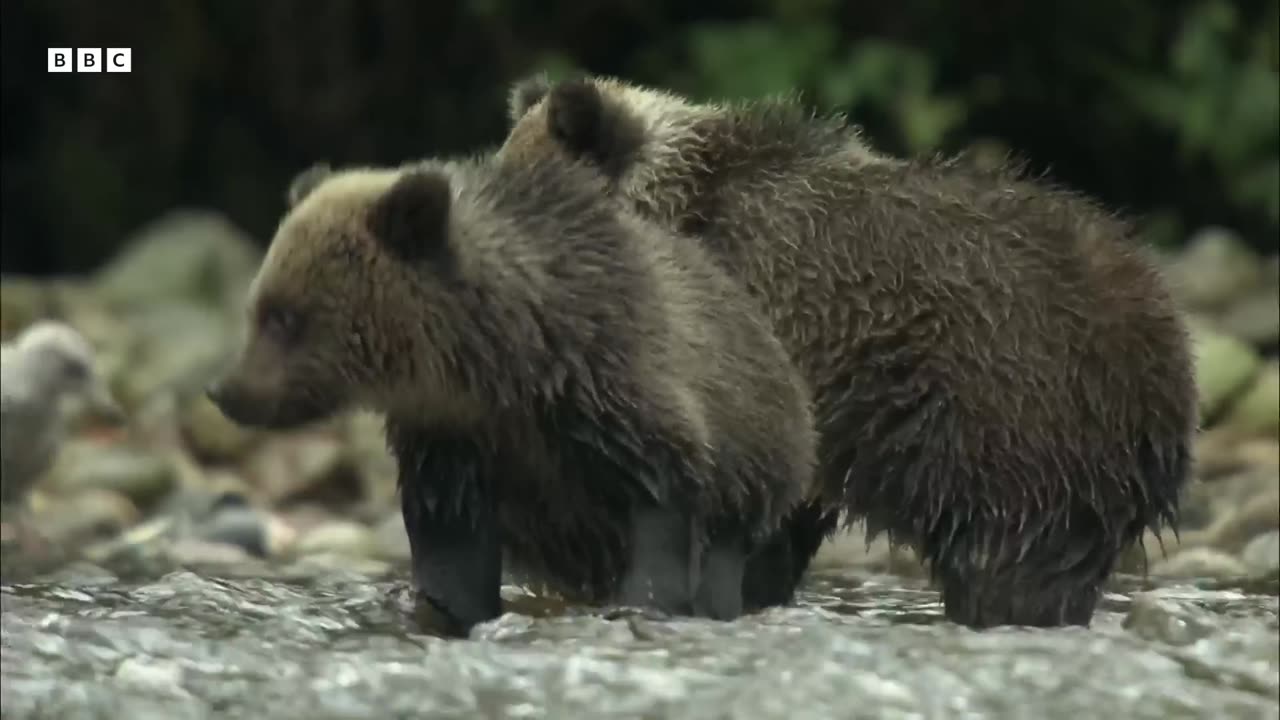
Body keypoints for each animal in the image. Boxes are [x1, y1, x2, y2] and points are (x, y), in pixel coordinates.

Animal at [204, 151, 814, 632]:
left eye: (285, 316)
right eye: (257, 308)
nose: (223, 390)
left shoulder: (616, 403)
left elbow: (661, 510)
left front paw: (643, 602)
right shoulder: (456, 446)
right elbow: (453, 550)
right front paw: (446, 609)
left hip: (761, 477)